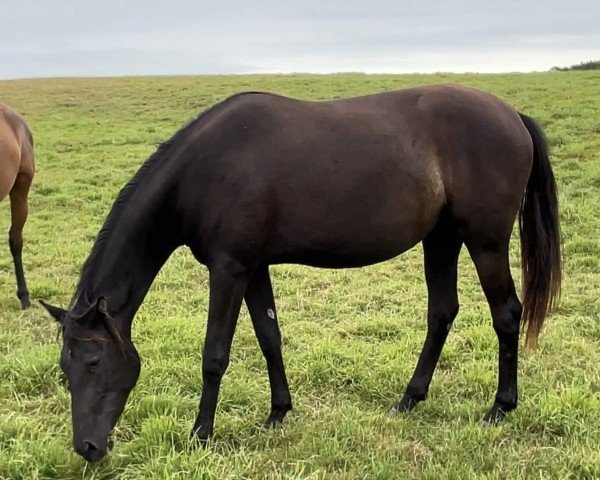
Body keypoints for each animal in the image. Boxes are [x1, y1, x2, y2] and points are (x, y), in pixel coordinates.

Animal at [39, 84, 560, 464]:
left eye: (92, 362)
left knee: (506, 313)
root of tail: (512, 114)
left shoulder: (229, 269)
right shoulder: (253, 269)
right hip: (442, 237)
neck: (206, 168)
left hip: (485, 241)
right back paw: (410, 398)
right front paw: (277, 414)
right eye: (65, 368)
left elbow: (215, 354)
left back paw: (500, 406)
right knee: (442, 312)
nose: (88, 448)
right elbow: (269, 337)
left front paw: (201, 434)